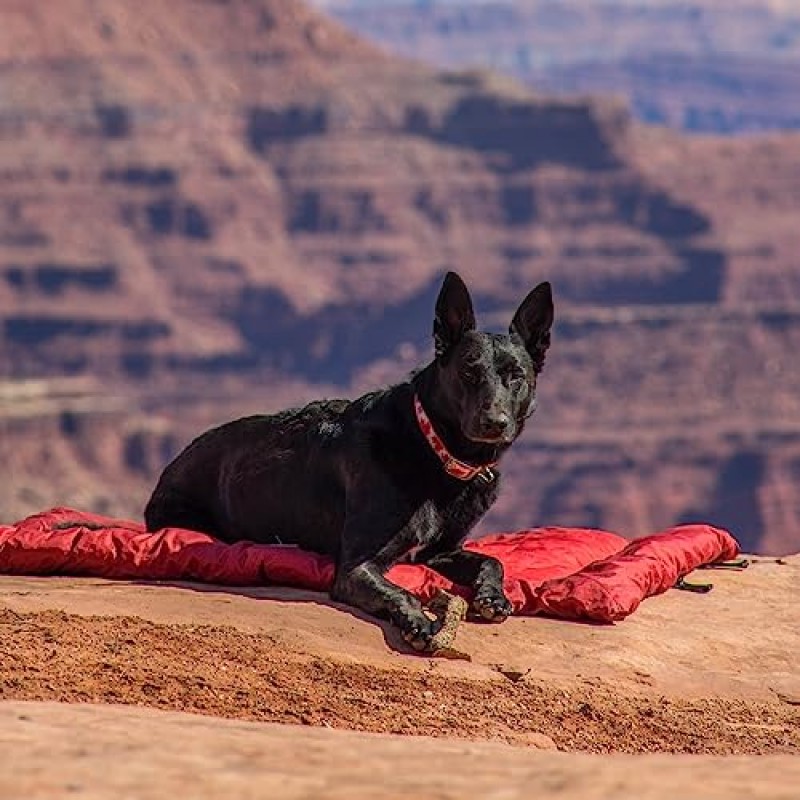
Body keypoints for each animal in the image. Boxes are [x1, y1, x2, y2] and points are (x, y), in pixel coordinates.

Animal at [145, 272, 552, 648]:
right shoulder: (357, 566)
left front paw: (492, 596)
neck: (433, 448)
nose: (495, 423)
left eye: (516, 376)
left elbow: (491, 560)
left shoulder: (439, 553)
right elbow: (401, 591)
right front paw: (418, 623)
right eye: (469, 371)